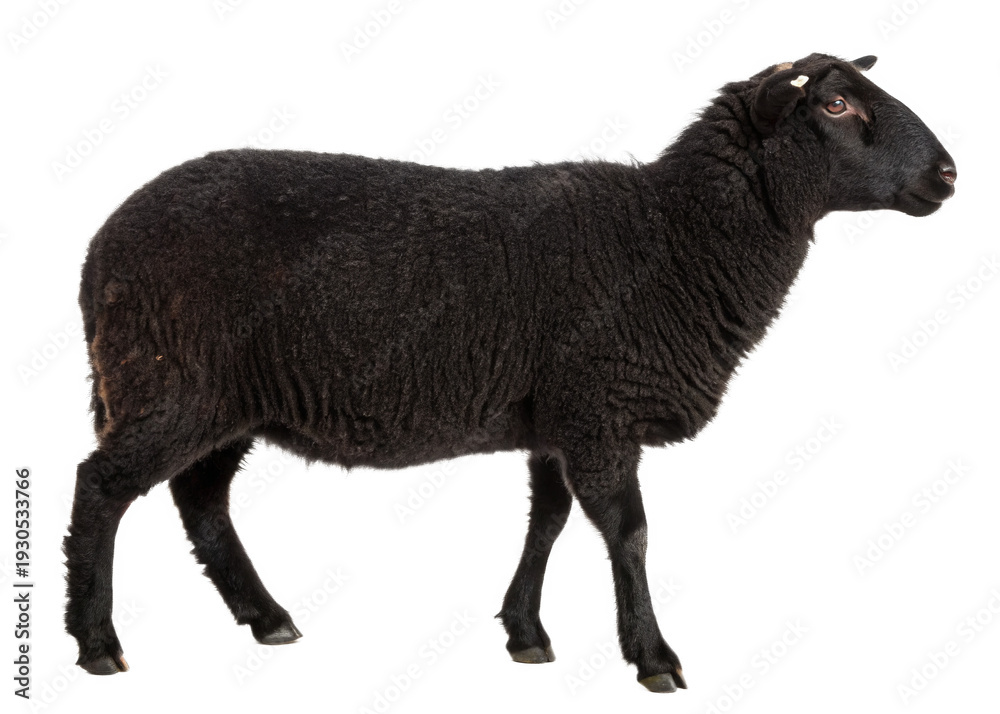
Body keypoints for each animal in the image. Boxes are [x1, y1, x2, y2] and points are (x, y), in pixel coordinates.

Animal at [64, 52, 956, 691]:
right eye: (835, 106)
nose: (948, 173)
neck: (673, 236)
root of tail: (101, 241)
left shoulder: (557, 415)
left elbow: (549, 520)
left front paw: (525, 633)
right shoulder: (600, 405)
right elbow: (628, 530)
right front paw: (653, 657)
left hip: (222, 398)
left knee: (200, 499)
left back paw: (266, 616)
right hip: (170, 380)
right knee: (102, 487)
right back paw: (99, 641)